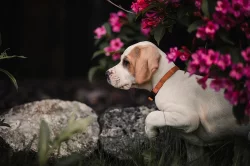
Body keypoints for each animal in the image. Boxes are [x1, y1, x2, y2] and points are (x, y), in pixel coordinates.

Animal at [105, 40, 250, 146]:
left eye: (126, 62)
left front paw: (150, 132)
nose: (106, 74)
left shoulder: (189, 117)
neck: (165, 80)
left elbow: (151, 116)